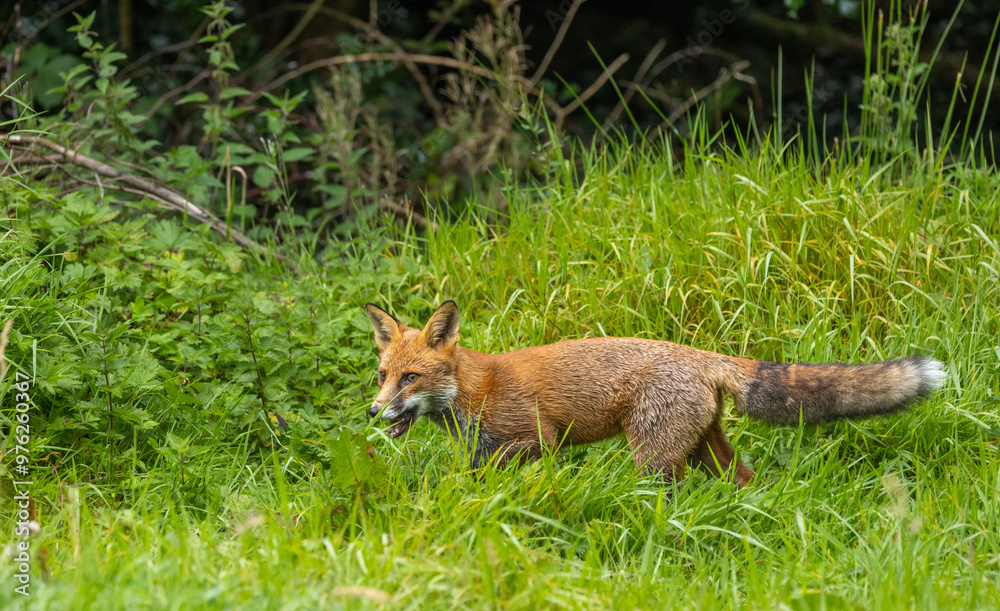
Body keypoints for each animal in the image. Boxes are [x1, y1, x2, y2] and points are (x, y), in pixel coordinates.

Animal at [365, 300, 946, 486]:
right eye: (382, 375)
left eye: (411, 378)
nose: (372, 412)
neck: (475, 390)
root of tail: (703, 354)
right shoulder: (482, 454)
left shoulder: (535, 441)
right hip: (706, 450)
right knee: (744, 482)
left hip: (653, 457)